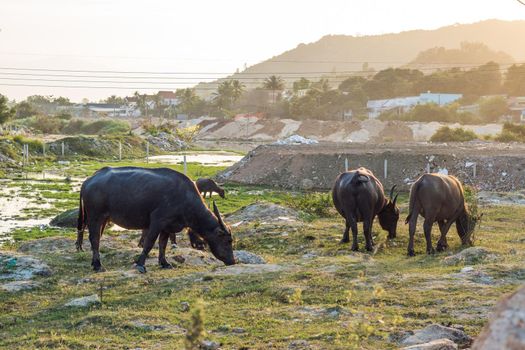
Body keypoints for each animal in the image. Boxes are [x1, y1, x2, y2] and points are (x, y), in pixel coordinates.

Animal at [75, 167, 233, 274]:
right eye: (227, 240)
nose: (232, 261)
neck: (184, 198)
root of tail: (89, 180)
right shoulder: (157, 222)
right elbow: (149, 243)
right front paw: (141, 264)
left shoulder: (167, 227)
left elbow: (163, 245)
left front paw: (164, 263)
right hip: (95, 217)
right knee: (94, 238)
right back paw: (98, 265)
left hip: (103, 219)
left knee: (96, 238)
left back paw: (94, 263)